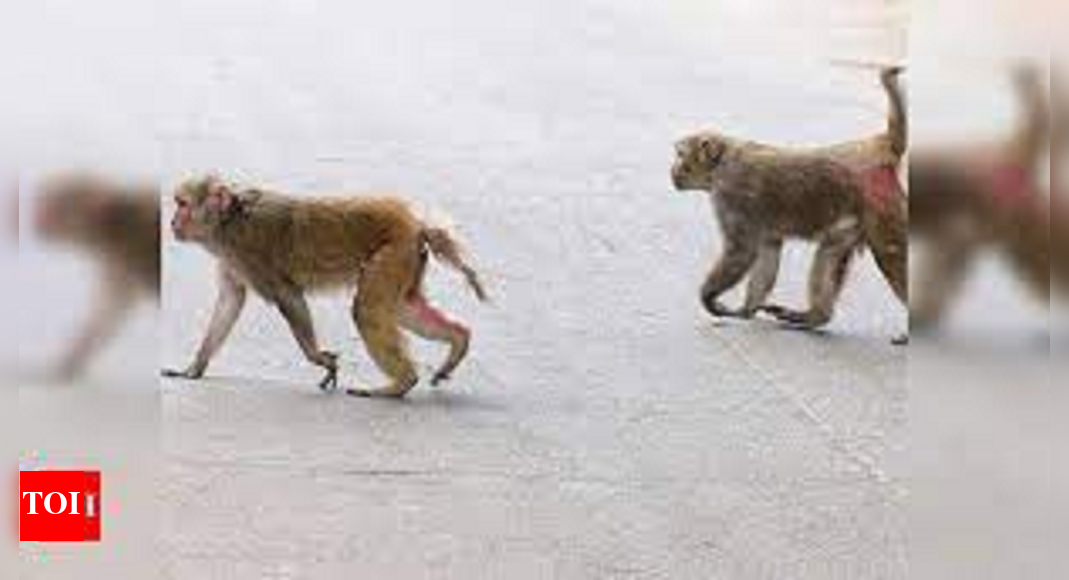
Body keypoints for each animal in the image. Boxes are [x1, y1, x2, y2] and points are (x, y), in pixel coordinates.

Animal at [32, 172, 160, 379]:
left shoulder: (128, 256)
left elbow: (107, 313)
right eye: (45, 198)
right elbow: (105, 315)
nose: (37, 216)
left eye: (61, 202)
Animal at [162, 176, 487, 399]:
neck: (228, 220)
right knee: (400, 308)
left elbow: (288, 295)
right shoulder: (232, 260)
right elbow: (230, 302)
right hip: (406, 259)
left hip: (394, 252)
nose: (172, 222)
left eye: (182, 204)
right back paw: (458, 340)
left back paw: (399, 384)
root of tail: (416, 223)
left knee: (367, 311)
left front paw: (318, 358)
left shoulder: (249, 253)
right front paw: (195, 367)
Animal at [671, 67, 908, 340]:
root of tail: (877, 146)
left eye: (680, 154)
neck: (722, 163)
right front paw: (746, 309)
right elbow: (768, 250)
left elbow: (741, 251)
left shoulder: (731, 195)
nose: (672, 170)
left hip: (881, 209)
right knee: (830, 252)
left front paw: (709, 298)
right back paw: (813, 317)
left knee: (891, 255)